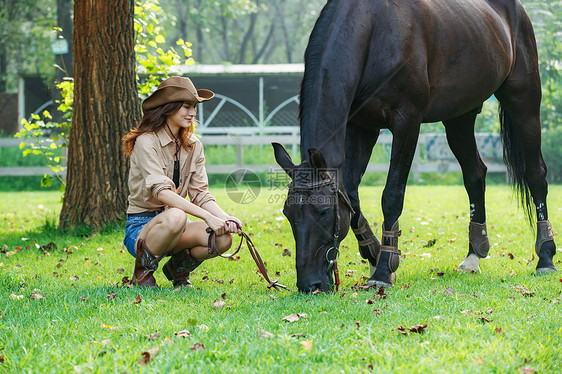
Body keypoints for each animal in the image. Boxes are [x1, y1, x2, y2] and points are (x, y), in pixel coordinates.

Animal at [272, 0, 556, 292]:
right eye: (287, 212)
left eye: (323, 211)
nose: (310, 284)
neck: (373, 30)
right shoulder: (362, 127)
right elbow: (350, 195)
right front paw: (374, 253)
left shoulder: (407, 122)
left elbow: (392, 195)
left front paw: (384, 269)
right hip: (459, 116)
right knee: (475, 175)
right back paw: (473, 255)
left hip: (523, 100)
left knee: (536, 174)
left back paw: (545, 257)